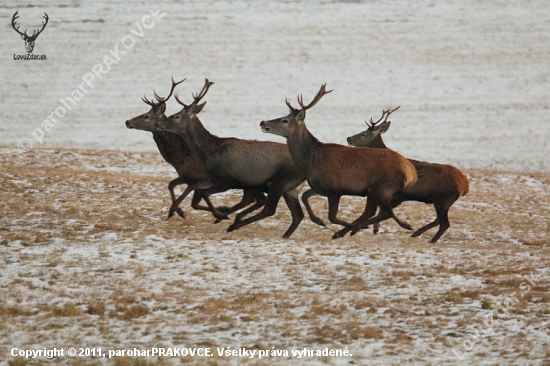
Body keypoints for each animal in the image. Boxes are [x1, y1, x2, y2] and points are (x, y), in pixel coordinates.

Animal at [128, 78, 270, 223]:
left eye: (146, 116)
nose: (127, 122)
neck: (180, 158)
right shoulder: (185, 177)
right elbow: (173, 186)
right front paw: (181, 211)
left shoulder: (203, 179)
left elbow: (192, 197)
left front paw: (177, 210)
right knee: (253, 199)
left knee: (255, 198)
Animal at [155, 79, 308, 239]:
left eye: (176, 116)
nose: (158, 124)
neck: (209, 153)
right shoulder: (215, 179)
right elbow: (199, 192)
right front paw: (221, 213)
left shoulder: (228, 180)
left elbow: (203, 193)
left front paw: (221, 214)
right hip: (289, 188)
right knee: (297, 214)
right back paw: (284, 235)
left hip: (279, 182)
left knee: (270, 209)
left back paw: (234, 225)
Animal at [260, 85, 420, 240]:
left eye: (284, 120)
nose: (263, 122)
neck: (311, 163)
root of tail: (411, 172)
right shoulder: (320, 187)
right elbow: (305, 196)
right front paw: (319, 220)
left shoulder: (334, 189)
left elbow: (332, 217)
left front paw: (347, 228)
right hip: (375, 191)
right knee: (377, 212)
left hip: (383, 187)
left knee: (385, 212)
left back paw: (403, 225)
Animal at [350, 106, 470, 243]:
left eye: (363, 133)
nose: (348, 138)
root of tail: (465, 185)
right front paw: (374, 228)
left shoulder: (400, 194)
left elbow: (383, 213)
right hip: (443, 201)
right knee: (438, 220)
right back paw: (417, 233)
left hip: (444, 199)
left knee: (445, 223)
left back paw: (430, 240)